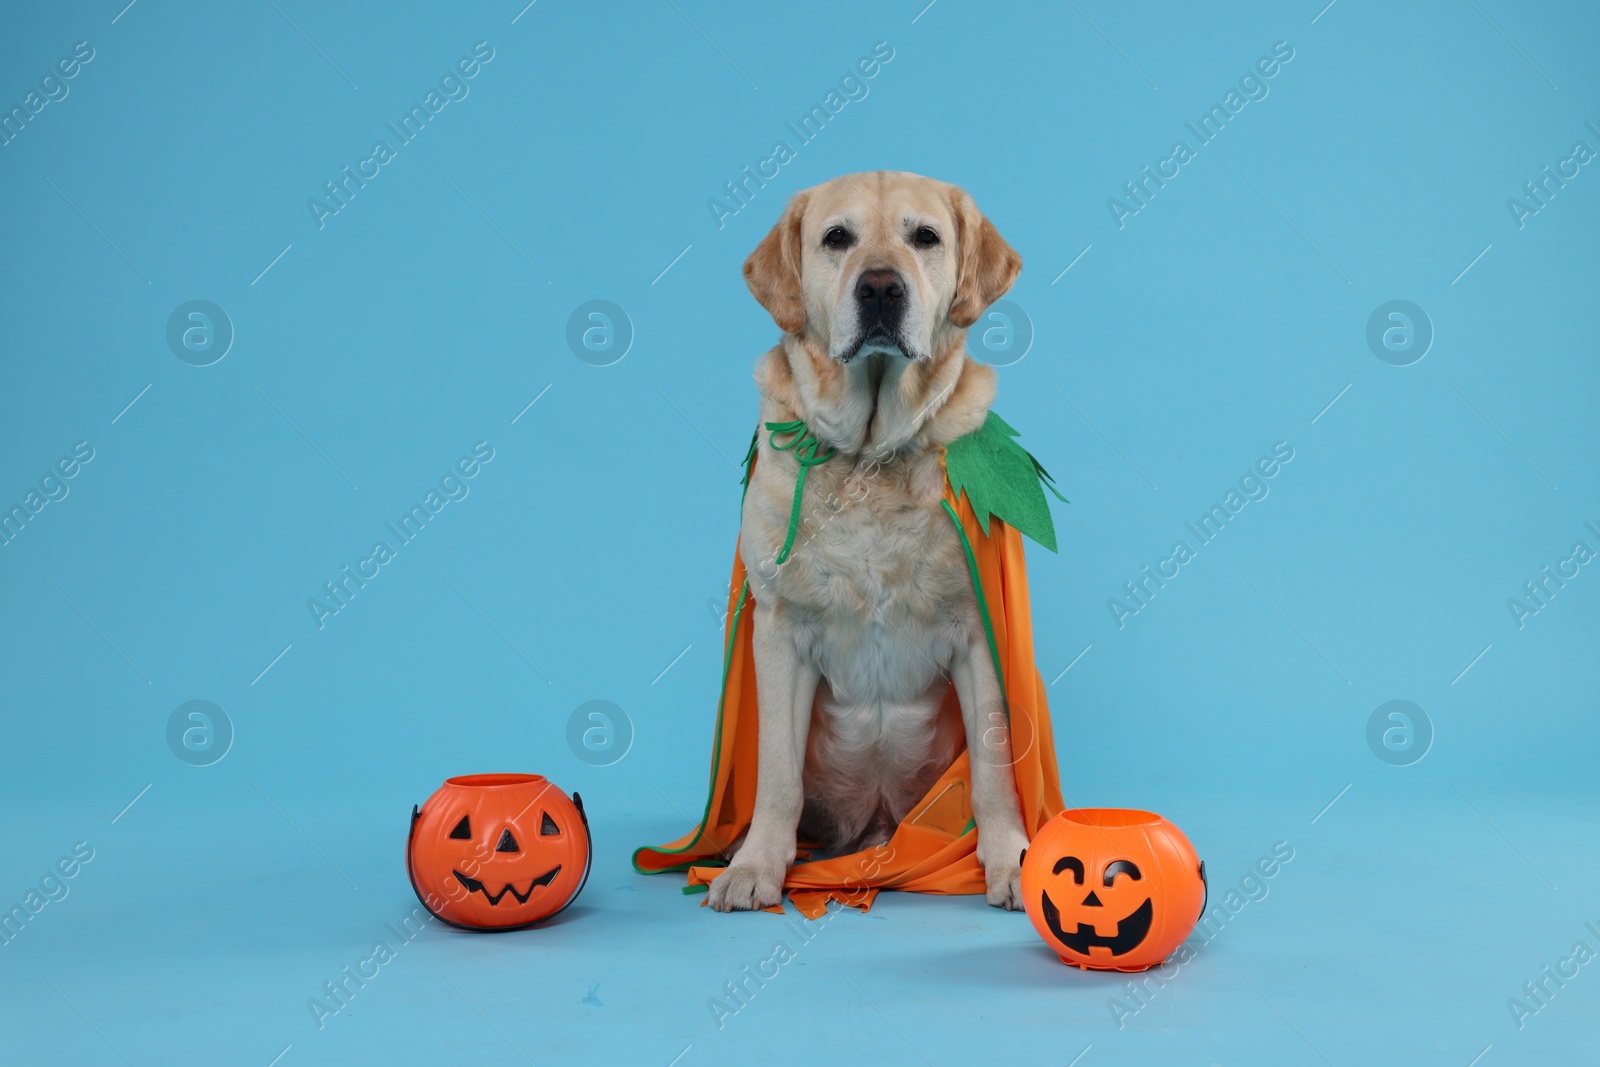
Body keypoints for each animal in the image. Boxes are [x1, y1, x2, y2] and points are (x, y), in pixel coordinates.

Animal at [710, 171, 1030, 915]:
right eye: (837, 238)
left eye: (926, 237)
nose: (881, 288)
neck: (870, 455)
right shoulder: (780, 628)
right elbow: (776, 774)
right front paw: (757, 865)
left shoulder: (979, 631)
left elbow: (994, 771)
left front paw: (1006, 858)